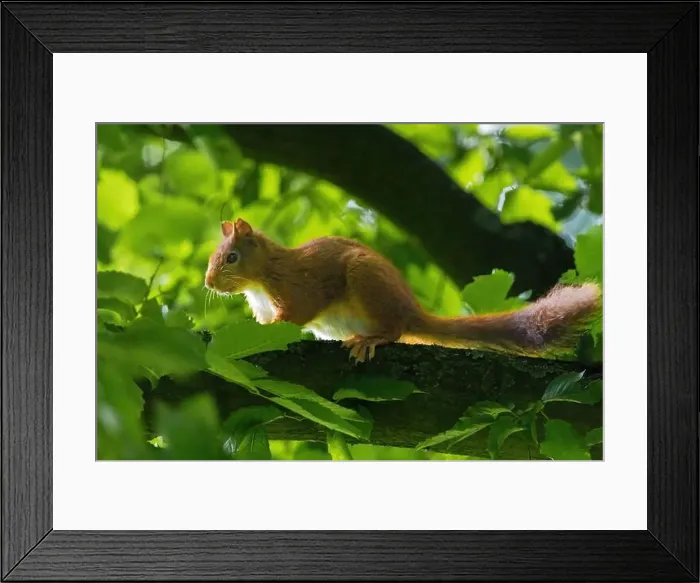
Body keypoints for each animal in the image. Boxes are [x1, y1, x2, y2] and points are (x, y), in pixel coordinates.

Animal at [205, 218, 602, 362]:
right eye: (213, 257)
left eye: (232, 258)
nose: (208, 283)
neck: (261, 278)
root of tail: (412, 311)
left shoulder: (297, 287)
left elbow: (297, 313)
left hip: (368, 283)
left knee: (394, 331)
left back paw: (371, 339)